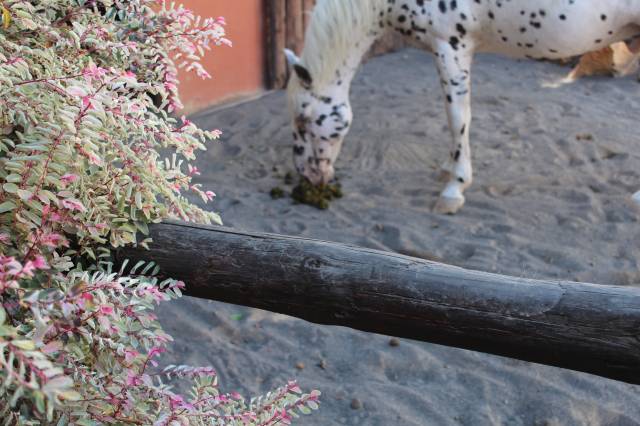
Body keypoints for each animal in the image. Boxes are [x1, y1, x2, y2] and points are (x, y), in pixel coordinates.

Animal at [285, 0, 640, 214]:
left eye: (303, 120)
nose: (307, 176)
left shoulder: (450, 47)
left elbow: (457, 117)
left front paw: (454, 189)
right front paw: (448, 169)